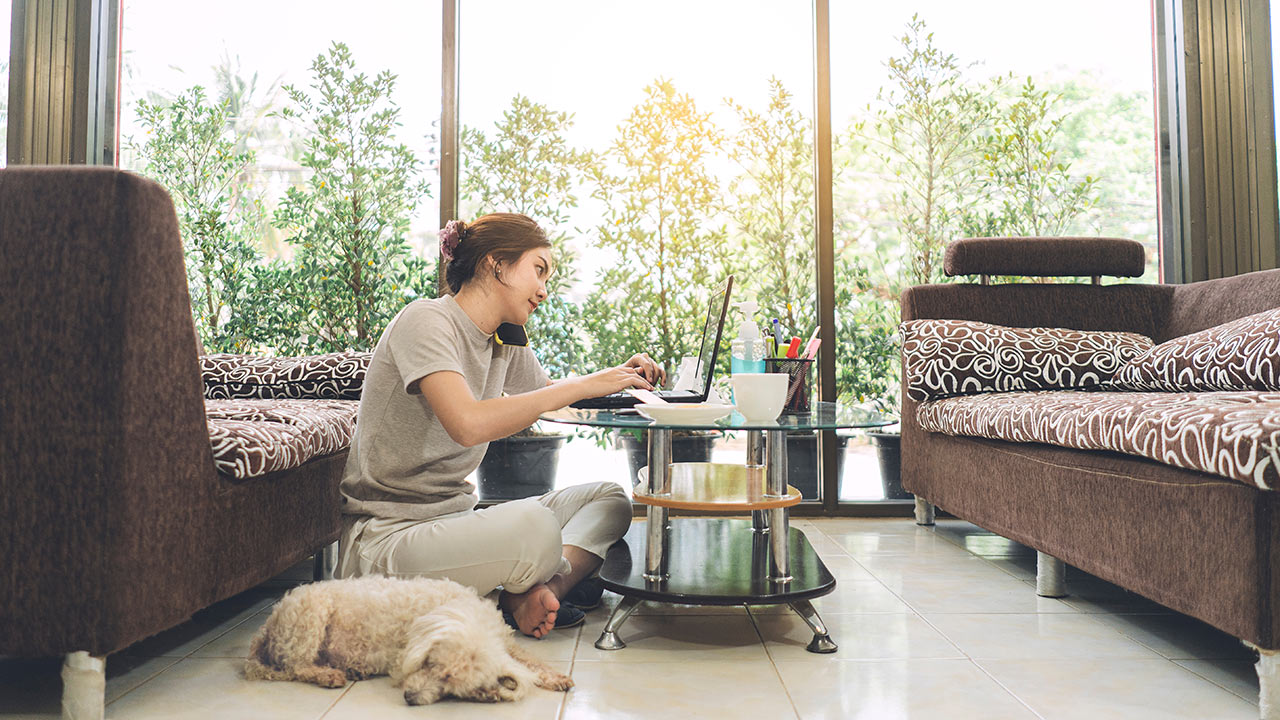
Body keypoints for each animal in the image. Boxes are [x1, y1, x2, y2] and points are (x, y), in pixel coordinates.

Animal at [244, 573, 576, 702]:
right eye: (428, 664)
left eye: (449, 685)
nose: (410, 698)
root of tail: (269, 624)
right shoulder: (401, 659)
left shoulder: (506, 645)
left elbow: (530, 660)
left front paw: (555, 676)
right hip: (312, 614)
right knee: (295, 667)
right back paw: (327, 674)